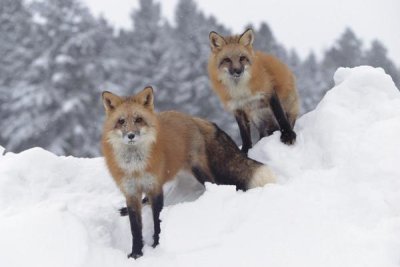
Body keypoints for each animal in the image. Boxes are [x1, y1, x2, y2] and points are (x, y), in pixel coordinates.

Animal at [101, 87, 276, 258]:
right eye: (121, 121)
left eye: (138, 120)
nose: (130, 135)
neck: (135, 167)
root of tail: (191, 118)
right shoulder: (131, 192)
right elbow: (135, 228)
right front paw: (136, 253)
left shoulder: (155, 188)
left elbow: (157, 221)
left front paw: (157, 245)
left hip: (198, 170)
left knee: (216, 184)